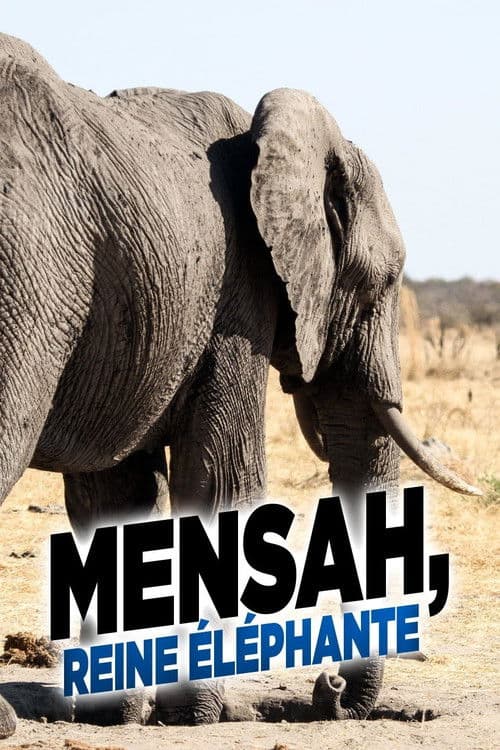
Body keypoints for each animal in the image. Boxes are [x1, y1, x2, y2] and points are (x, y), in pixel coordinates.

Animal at [0, 33, 480, 738]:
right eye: (388, 280)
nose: (330, 687)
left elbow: (116, 496)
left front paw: (126, 714)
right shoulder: (238, 296)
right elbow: (221, 482)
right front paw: (205, 715)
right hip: (30, 267)